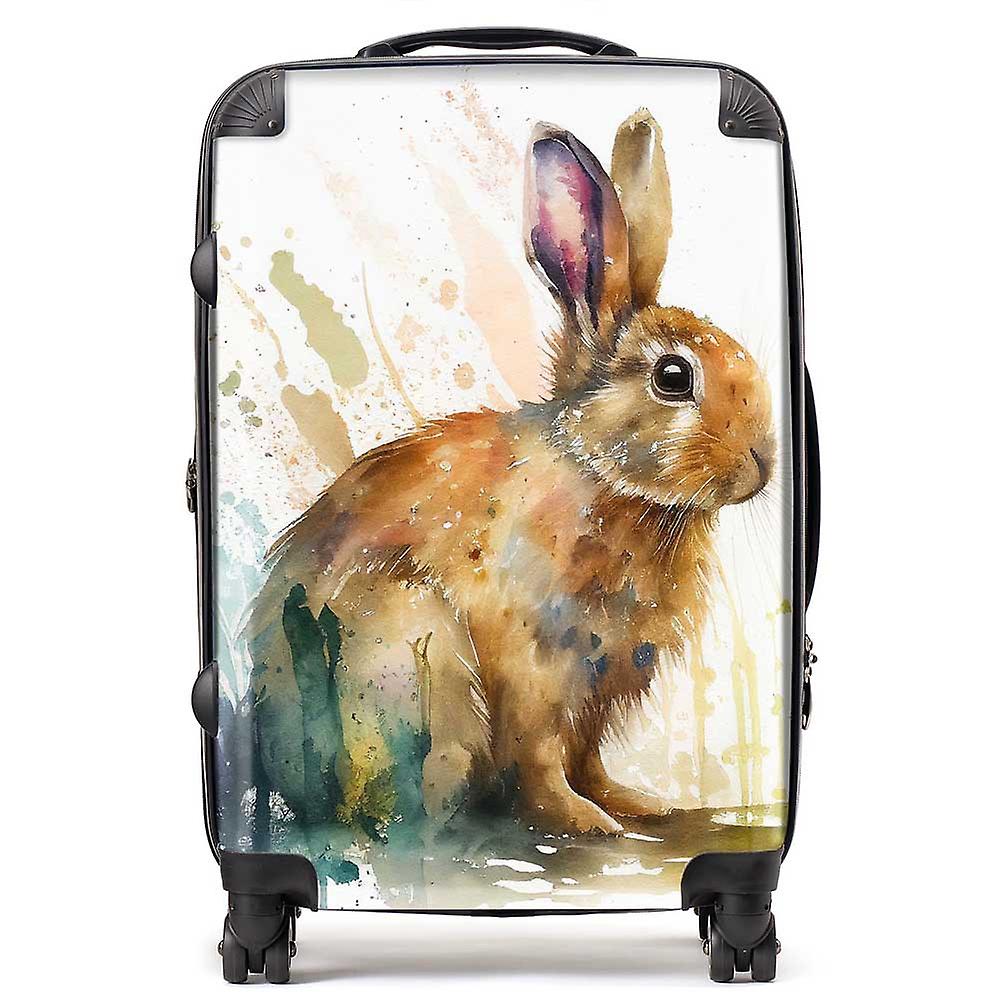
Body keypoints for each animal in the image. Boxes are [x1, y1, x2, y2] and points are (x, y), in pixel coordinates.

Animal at [245, 108, 775, 838]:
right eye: (673, 377)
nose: (764, 462)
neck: (600, 473)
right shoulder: (536, 668)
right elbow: (543, 758)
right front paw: (586, 821)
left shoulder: (600, 689)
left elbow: (589, 759)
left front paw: (635, 805)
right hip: (412, 651)